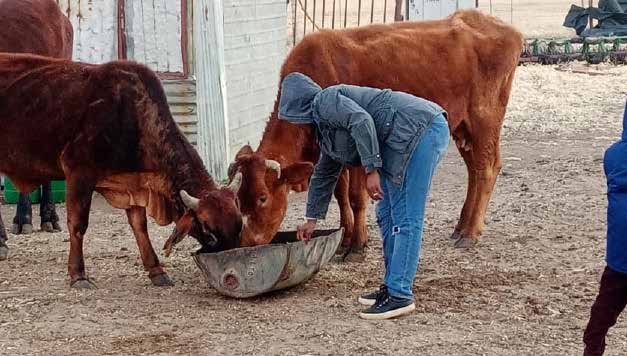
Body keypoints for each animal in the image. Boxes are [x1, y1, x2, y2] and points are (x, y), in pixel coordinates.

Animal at [0, 54, 243, 288]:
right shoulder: (79, 172)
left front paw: (157, 271)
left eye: (239, 227)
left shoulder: (133, 184)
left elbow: (139, 226)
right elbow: (78, 225)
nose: (228, 269)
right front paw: (78, 274)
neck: (132, 114)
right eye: (209, 234)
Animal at [228, 9, 524, 260]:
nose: (246, 242)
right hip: (463, 127)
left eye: (263, 198)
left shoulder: (358, 145)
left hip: (484, 118)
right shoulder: (330, 151)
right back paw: (462, 226)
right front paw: (345, 238)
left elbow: (356, 197)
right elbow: (340, 195)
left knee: (486, 169)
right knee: (474, 170)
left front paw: (358, 244)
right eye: (239, 199)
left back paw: (471, 232)